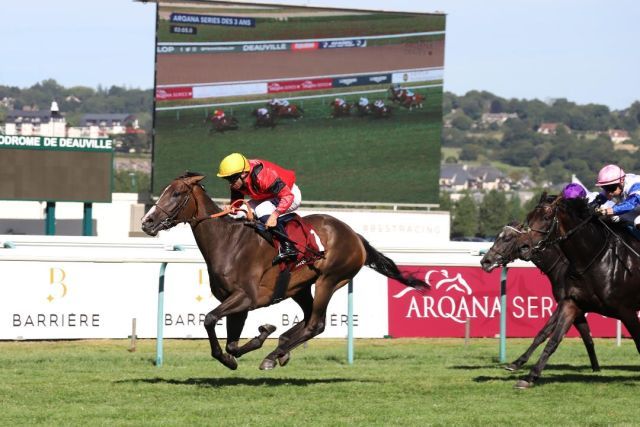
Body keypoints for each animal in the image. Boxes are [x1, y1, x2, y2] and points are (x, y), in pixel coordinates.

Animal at [142, 173, 428, 372]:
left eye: (177, 193)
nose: (147, 222)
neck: (228, 241)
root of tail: (355, 235)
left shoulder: (246, 298)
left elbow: (211, 319)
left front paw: (232, 356)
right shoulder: (236, 302)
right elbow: (232, 342)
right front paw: (252, 342)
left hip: (330, 279)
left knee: (316, 324)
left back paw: (273, 355)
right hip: (298, 287)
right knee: (308, 319)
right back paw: (282, 347)